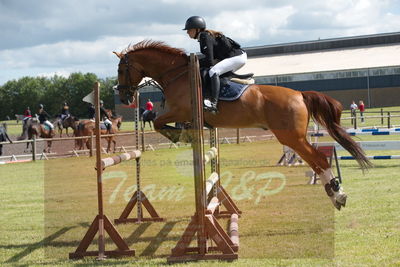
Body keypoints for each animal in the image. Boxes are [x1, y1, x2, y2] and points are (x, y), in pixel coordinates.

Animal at [113, 39, 372, 211]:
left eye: (121, 69)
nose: (124, 97)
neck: (177, 74)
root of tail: (299, 94)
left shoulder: (180, 110)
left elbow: (159, 123)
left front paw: (180, 136)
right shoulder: (183, 114)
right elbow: (165, 124)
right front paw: (183, 134)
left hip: (291, 137)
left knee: (318, 159)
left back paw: (337, 195)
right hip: (293, 137)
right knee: (315, 160)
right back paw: (335, 193)